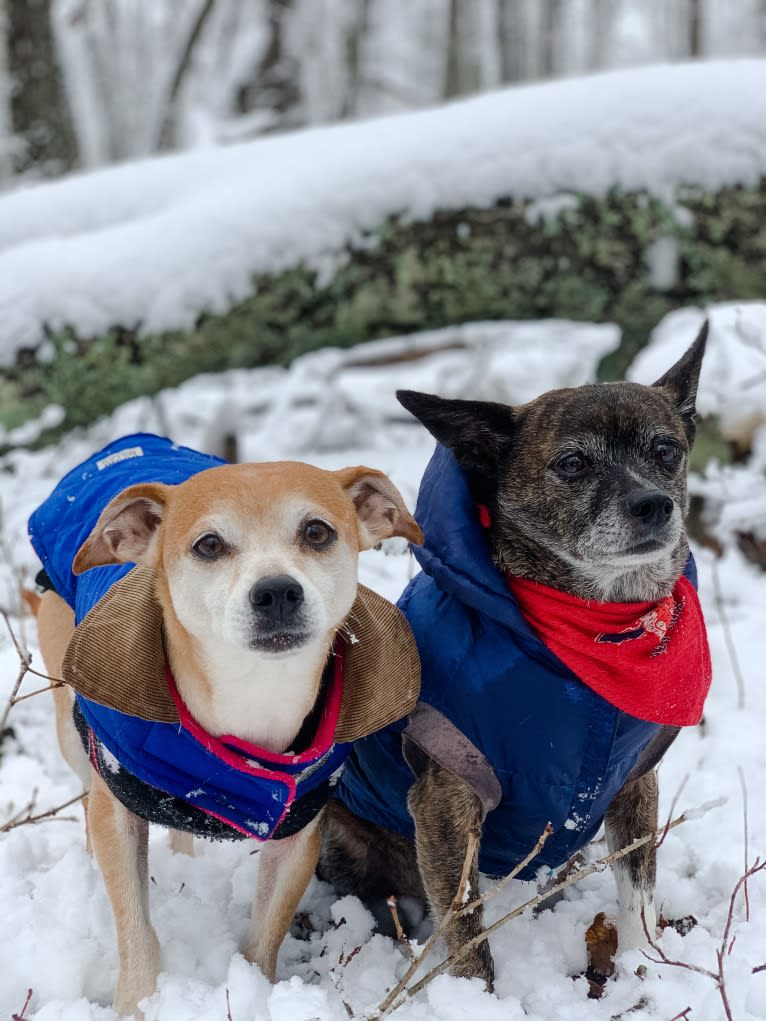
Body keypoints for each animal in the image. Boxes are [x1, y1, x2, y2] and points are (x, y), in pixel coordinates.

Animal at [32, 459, 422, 1016]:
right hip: (72, 725)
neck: (251, 694)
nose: (277, 590)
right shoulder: (118, 807)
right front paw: (139, 1003)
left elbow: (265, 934)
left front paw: (254, 991)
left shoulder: (298, 832)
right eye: (210, 544)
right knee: (86, 794)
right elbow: (135, 925)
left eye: (317, 532)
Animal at [318, 320, 706, 988]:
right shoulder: (445, 800)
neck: (596, 635)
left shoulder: (634, 784)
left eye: (666, 451)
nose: (654, 503)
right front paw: (478, 998)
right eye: (572, 463)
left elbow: (638, 891)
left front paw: (644, 967)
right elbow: (466, 934)